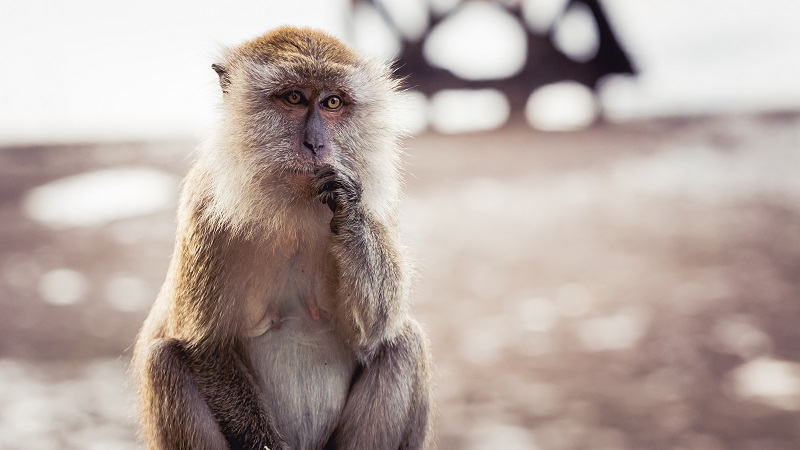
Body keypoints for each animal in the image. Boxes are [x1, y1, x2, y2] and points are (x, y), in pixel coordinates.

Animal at [131, 25, 434, 450]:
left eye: (332, 102)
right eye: (294, 98)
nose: (316, 144)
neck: (292, 209)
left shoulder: (378, 203)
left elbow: (373, 333)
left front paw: (349, 209)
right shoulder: (204, 209)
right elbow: (203, 346)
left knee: (403, 344)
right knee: (165, 360)